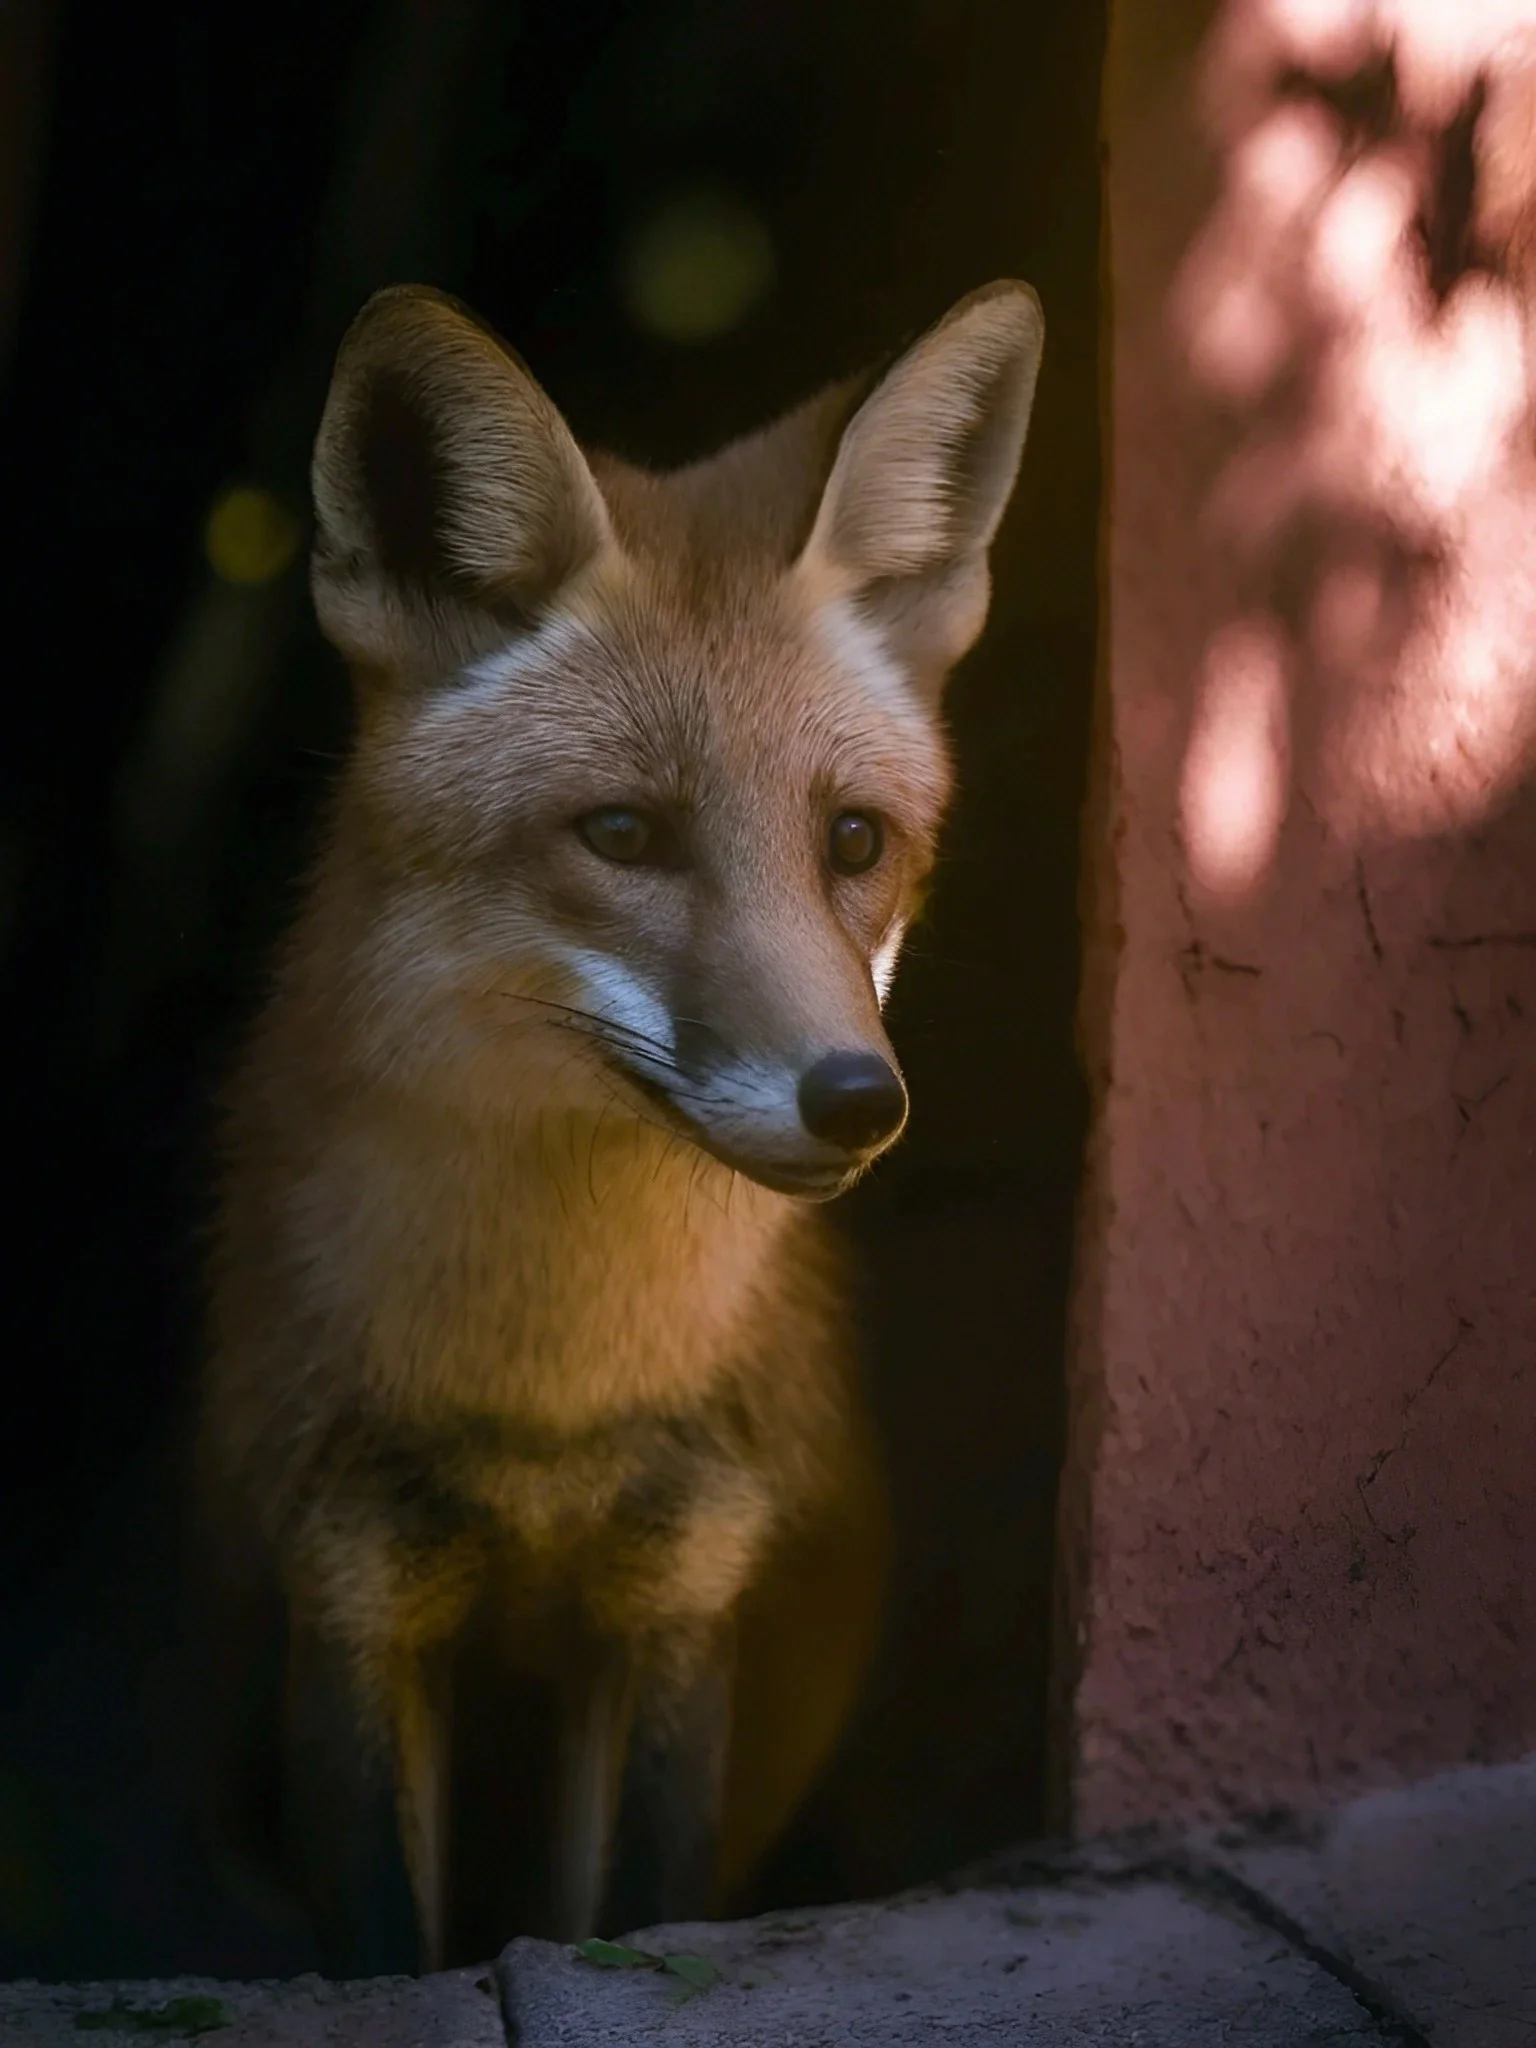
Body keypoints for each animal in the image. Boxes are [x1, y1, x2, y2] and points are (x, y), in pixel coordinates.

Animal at [193, 275, 1044, 1978]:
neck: (550, 1392)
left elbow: (638, 1921)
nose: (856, 1096)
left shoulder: (679, 1595)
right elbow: (389, 1946)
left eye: (856, 841)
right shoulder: (352, 1591)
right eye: (623, 835)